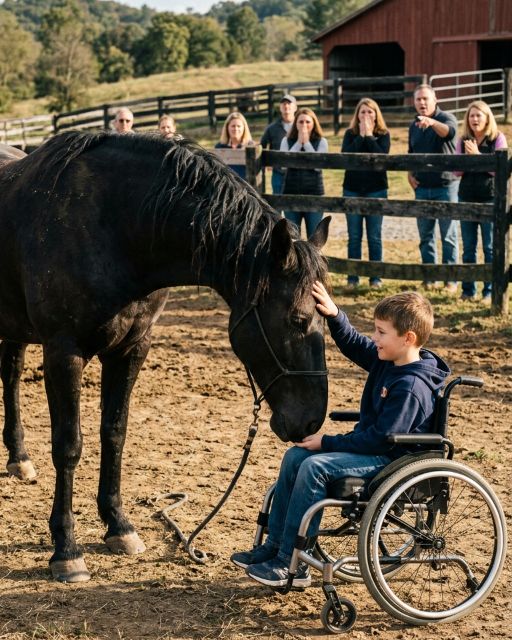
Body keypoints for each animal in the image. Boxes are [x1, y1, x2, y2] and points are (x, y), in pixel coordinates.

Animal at [0, 131, 330, 583]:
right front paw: (66, 549)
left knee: (11, 375)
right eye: (298, 319)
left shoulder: (131, 349)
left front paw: (118, 526)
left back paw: (18, 459)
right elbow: (68, 445)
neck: (112, 226)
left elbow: (114, 433)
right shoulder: (63, 352)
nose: (312, 420)